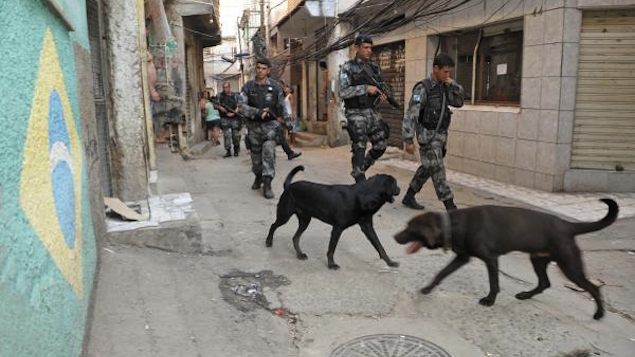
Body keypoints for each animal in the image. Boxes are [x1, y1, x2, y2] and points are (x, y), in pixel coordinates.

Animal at [266, 165, 400, 268]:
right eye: (395, 184)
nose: (399, 189)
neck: (364, 196)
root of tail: (288, 186)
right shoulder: (337, 228)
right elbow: (331, 249)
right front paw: (331, 264)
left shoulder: (367, 227)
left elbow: (380, 246)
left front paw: (390, 262)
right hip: (284, 215)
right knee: (273, 225)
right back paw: (268, 242)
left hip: (305, 220)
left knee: (295, 237)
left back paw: (300, 254)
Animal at [396, 199, 620, 318]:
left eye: (411, 229)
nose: (395, 237)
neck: (453, 224)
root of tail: (568, 226)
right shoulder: (462, 257)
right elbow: (441, 273)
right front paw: (427, 288)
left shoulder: (490, 259)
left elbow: (494, 283)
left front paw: (489, 300)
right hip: (538, 260)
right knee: (544, 283)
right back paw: (525, 295)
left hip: (569, 265)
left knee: (593, 287)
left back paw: (599, 314)